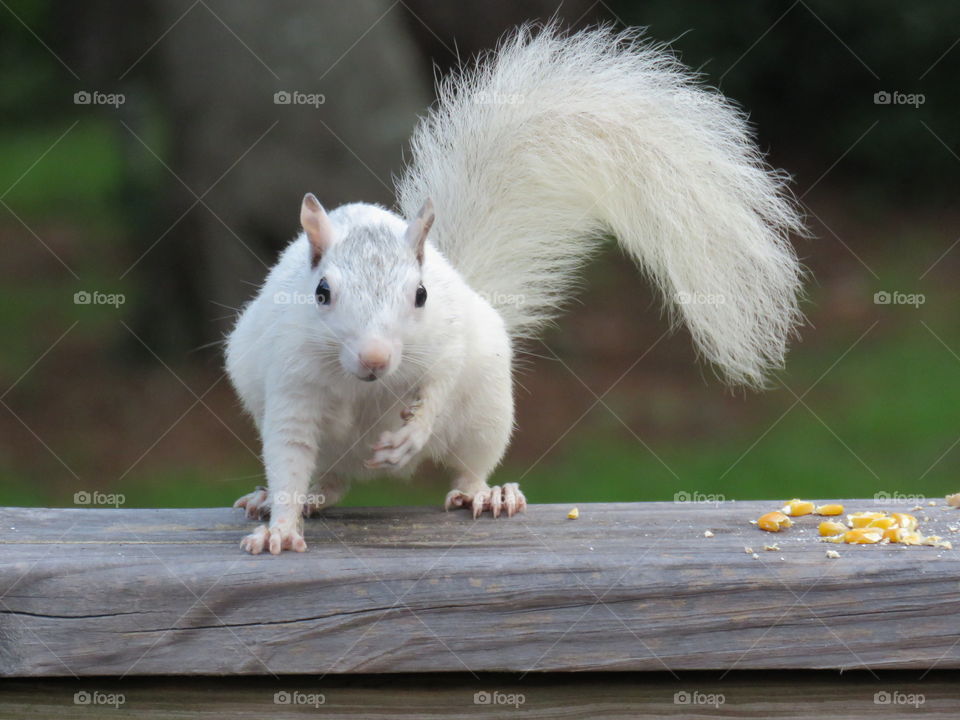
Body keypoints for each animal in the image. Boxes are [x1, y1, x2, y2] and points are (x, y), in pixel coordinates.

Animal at [225, 25, 804, 556]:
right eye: (321, 293)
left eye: (421, 296)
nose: (374, 358)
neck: (367, 387)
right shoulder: (291, 386)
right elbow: (289, 456)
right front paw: (279, 527)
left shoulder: (447, 342)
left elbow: (440, 385)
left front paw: (413, 434)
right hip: (336, 450)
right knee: (327, 482)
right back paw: (288, 498)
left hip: (487, 414)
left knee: (467, 467)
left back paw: (488, 493)